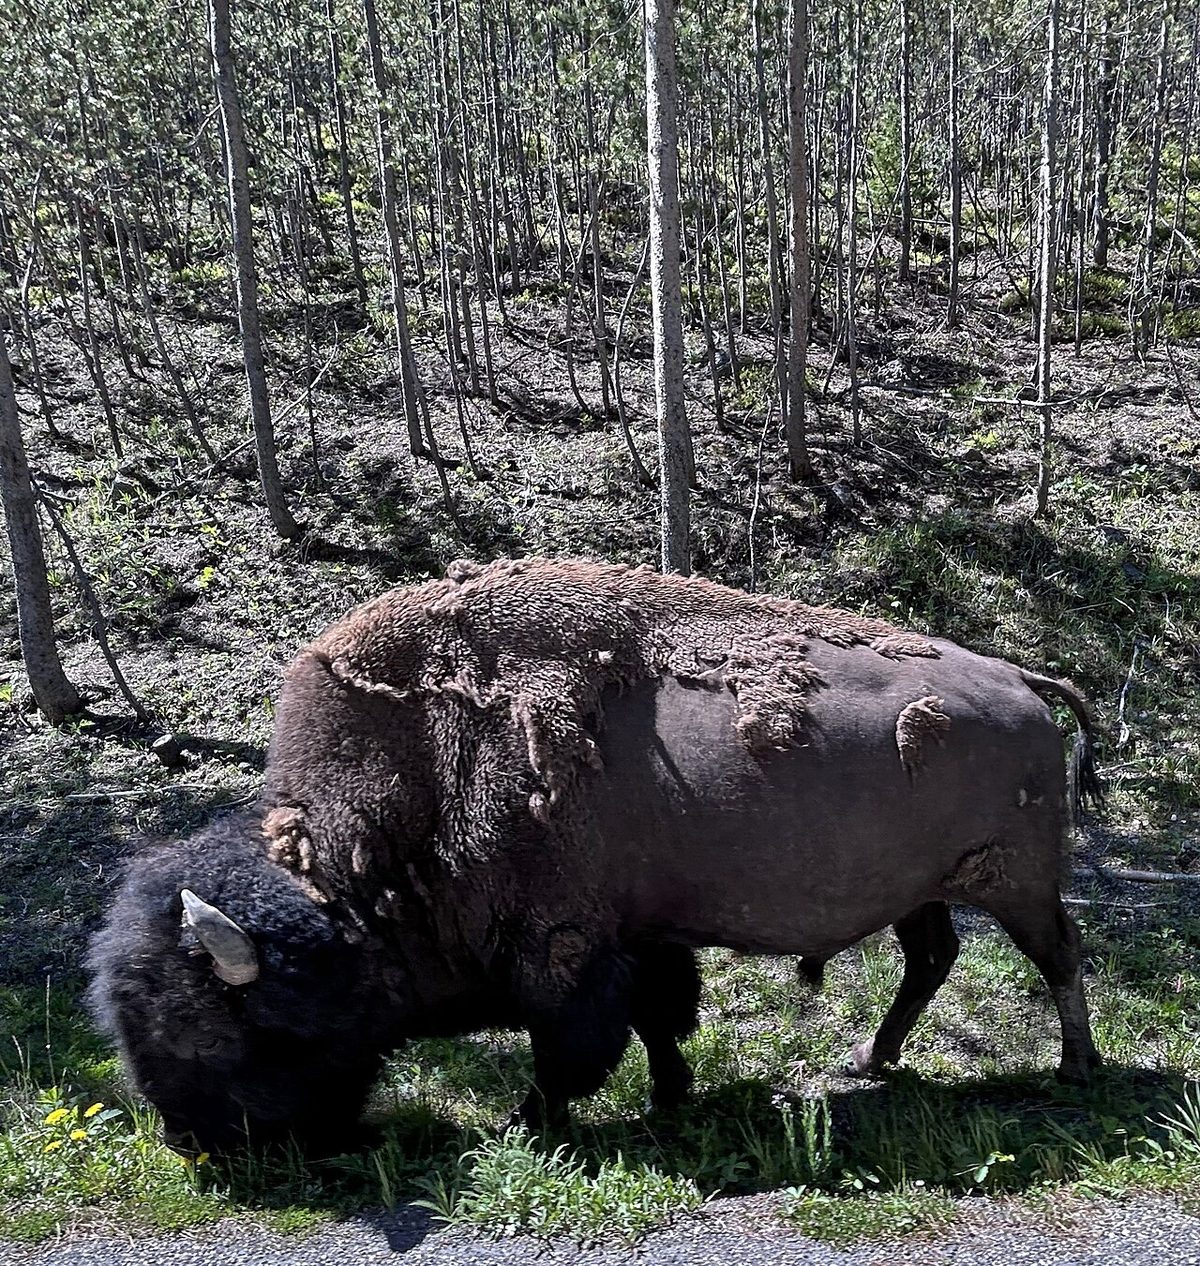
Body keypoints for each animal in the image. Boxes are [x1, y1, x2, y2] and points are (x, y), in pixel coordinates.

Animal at [89, 557, 1102, 1153]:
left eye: (215, 1029)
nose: (190, 1141)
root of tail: (1022, 678)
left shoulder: (563, 953)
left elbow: (567, 1048)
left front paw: (527, 1120)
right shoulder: (639, 939)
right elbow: (658, 1018)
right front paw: (671, 1096)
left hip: (1015, 881)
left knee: (1059, 955)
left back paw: (1075, 1070)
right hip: (922, 890)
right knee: (933, 958)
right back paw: (871, 1059)